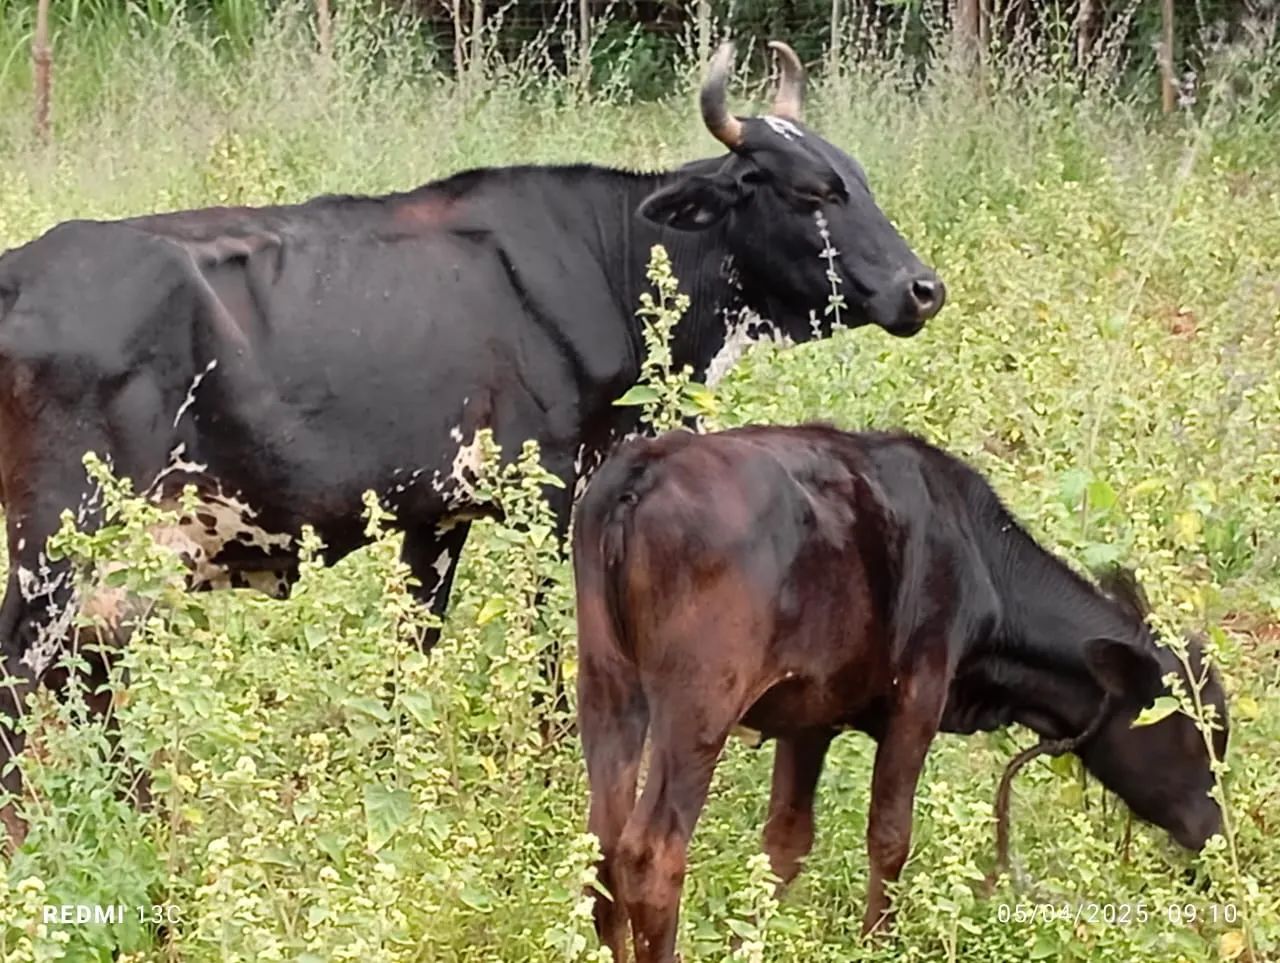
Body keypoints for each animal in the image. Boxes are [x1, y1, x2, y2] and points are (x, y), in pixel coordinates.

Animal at [0, 41, 944, 844]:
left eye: (858, 179)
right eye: (810, 191)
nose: (922, 288)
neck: (610, 262)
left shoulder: (434, 515)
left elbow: (414, 646)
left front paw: (390, 773)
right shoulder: (556, 493)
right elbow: (555, 648)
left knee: (82, 672)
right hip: (57, 541)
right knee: (25, 671)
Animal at [572, 424, 1229, 963]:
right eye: (1190, 732)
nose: (1215, 836)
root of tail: (647, 466)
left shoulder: (812, 714)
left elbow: (786, 840)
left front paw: (750, 941)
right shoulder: (920, 695)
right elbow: (890, 837)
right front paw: (875, 942)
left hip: (606, 685)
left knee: (602, 838)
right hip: (697, 709)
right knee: (651, 854)